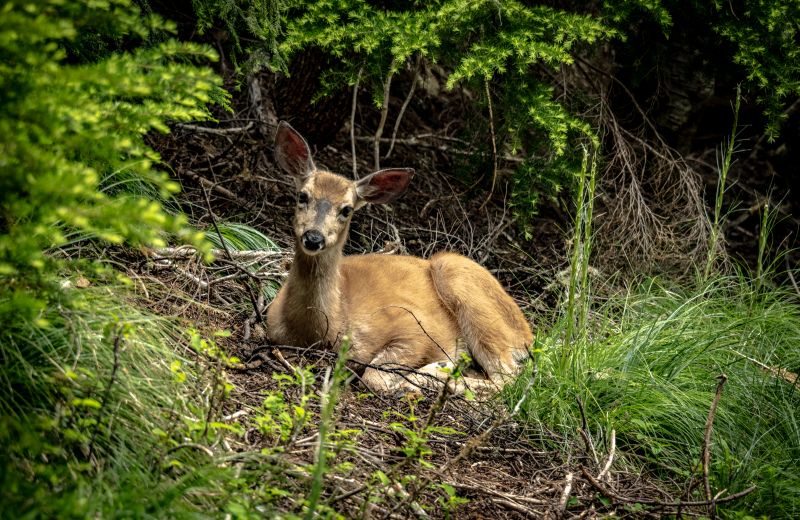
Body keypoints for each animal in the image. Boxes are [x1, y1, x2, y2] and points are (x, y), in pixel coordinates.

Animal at [266, 121, 533, 395]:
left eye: (346, 209)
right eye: (303, 196)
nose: (313, 237)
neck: (320, 328)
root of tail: (527, 334)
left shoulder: (412, 326)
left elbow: (374, 376)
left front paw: (423, 374)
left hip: (465, 287)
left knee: (509, 378)